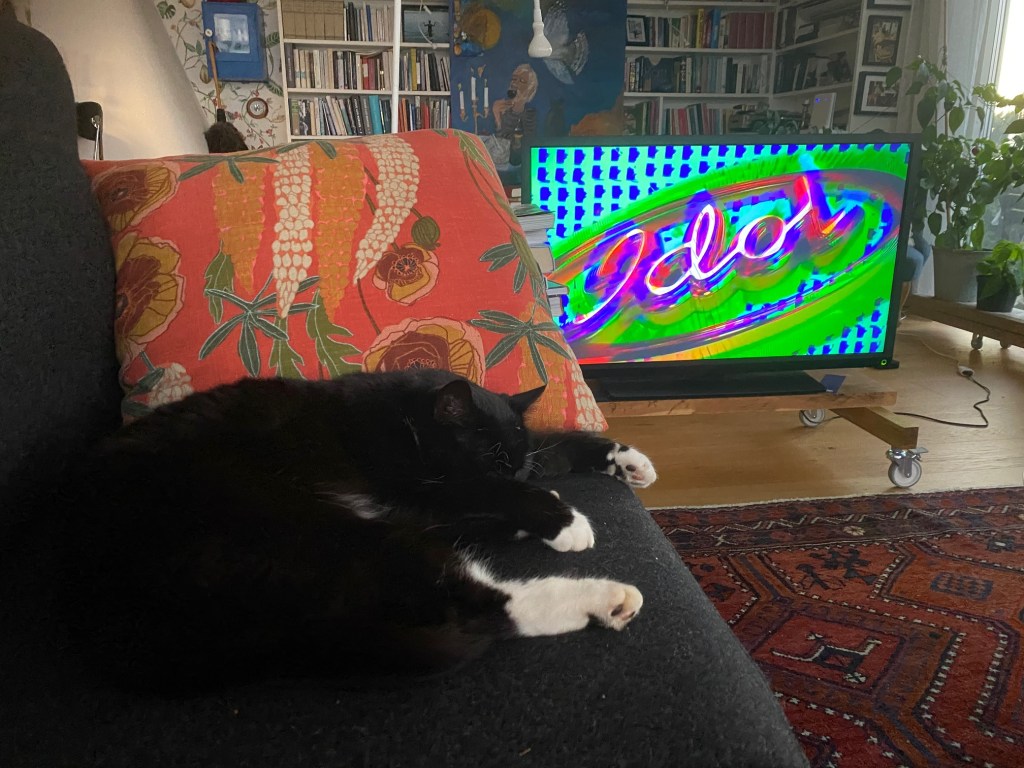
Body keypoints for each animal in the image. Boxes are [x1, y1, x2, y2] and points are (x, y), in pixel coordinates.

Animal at [61, 369, 657, 693]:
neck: (404, 417)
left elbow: (556, 444)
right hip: (307, 529)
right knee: (476, 607)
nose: (516, 476)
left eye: (517, 463)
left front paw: (627, 461)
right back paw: (607, 598)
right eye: (488, 462)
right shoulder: (423, 491)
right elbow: (490, 498)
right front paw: (564, 521)